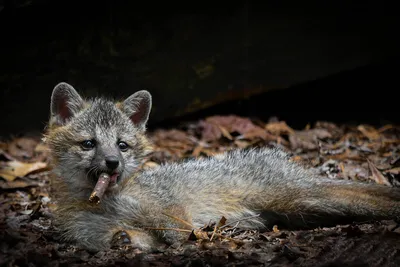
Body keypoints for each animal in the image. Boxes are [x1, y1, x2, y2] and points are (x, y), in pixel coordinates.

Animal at [44, 82, 400, 252]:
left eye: (122, 145)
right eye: (89, 144)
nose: (113, 162)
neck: (107, 204)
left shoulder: (169, 212)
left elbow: (176, 230)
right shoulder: (98, 235)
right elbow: (130, 239)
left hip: (301, 199)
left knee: (369, 197)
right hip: (300, 210)